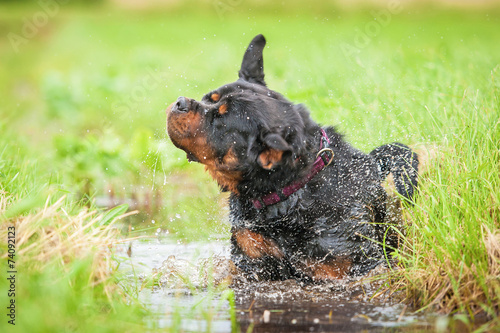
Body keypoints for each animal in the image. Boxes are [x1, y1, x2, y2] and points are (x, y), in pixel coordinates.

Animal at [167, 34, 418, 280]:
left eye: (220, 120)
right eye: (208, 98)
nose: (180, 102)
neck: (288, 189)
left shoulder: (349, 265)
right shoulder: (250, 255)